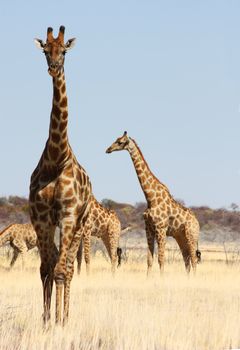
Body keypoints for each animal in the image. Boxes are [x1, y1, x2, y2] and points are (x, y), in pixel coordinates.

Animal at [106, 133, 201, 274]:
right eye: (116, 139)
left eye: (120, 142)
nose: (108, 149)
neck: (150, 198)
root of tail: (198, 224)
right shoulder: (149, 229)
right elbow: (149, 260)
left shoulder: (161, 229)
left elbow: (161, 259)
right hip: (181, 237)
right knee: (187, 260)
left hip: (191, 236)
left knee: (194, 260)